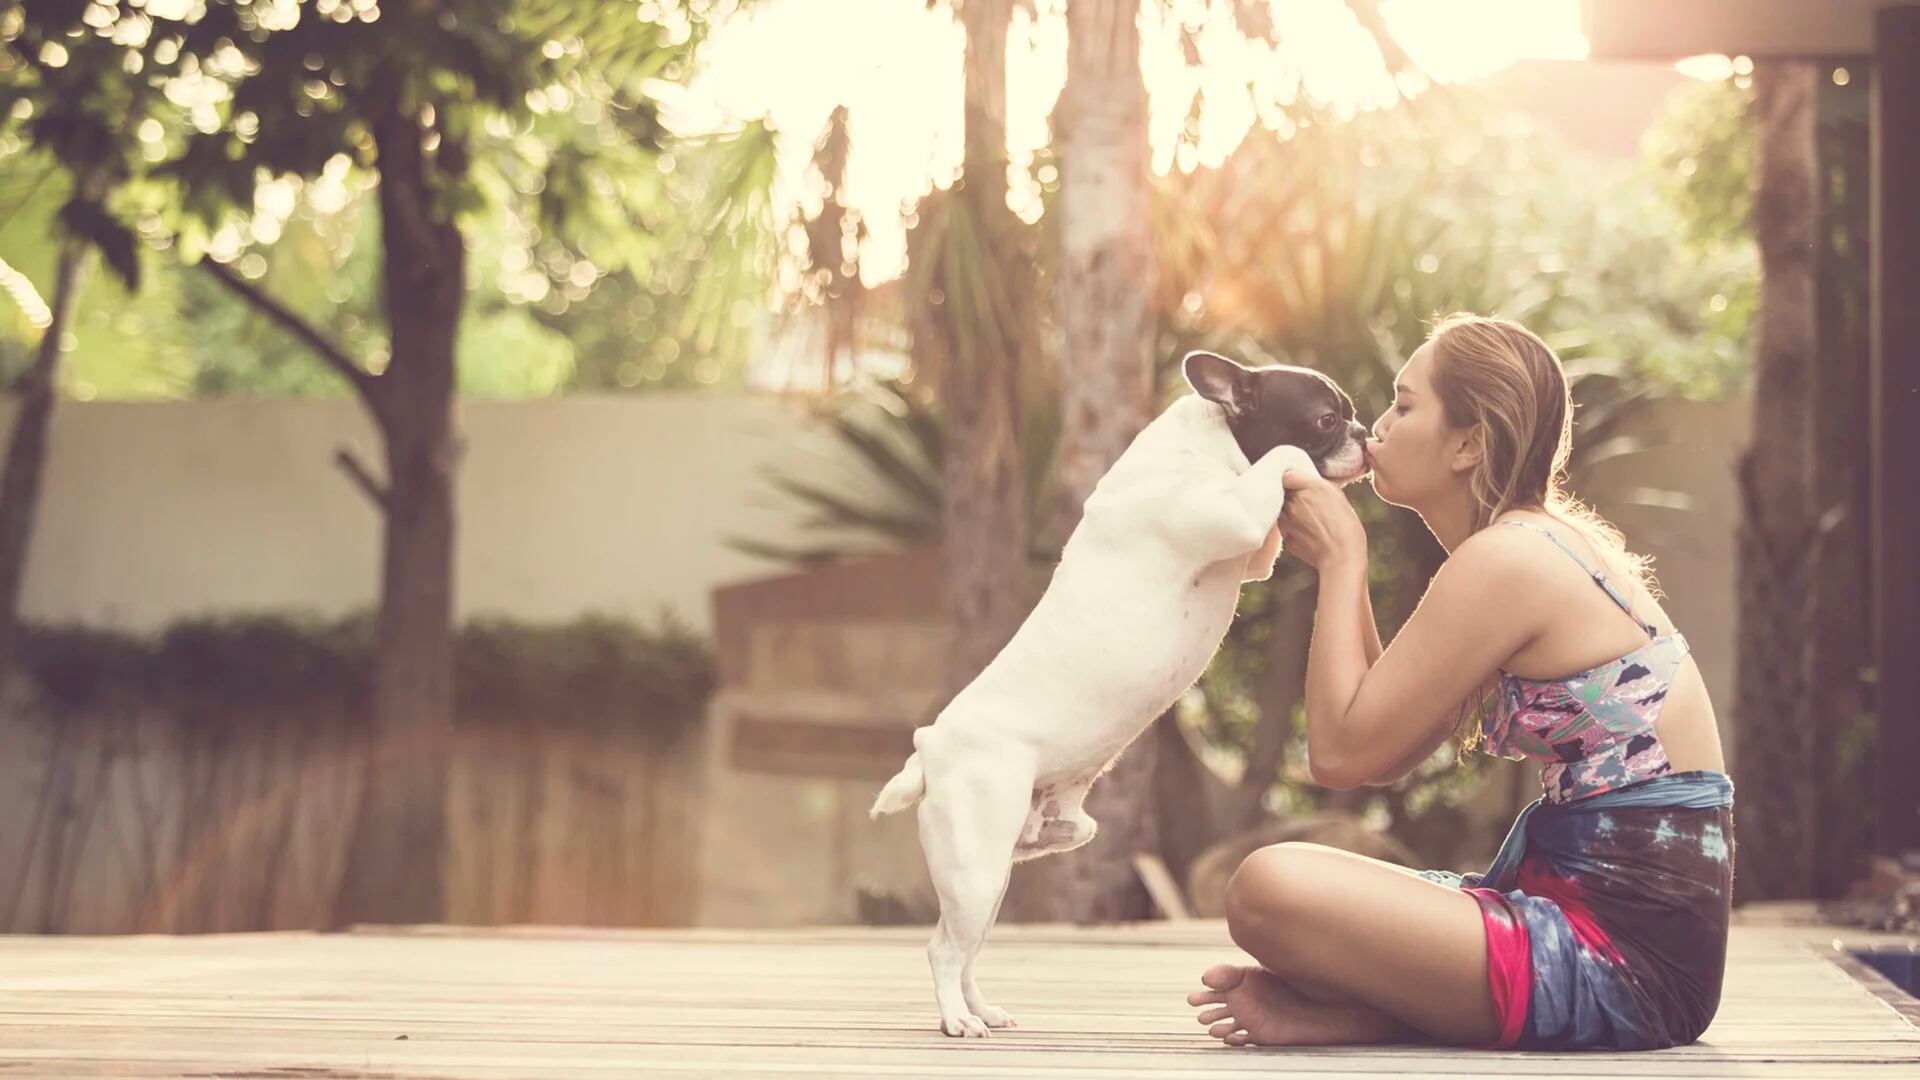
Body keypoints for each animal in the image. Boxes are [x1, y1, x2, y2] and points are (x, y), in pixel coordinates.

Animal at [871, 349, 1382, 1030]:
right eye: (1326, 419)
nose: (1366, 435)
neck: (1210, 442)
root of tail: (930, 747)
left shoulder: (1249, 548)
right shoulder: (1234, 513)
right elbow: (1280, 457)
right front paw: (1298, 463)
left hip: (997, 864)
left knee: (969, 944)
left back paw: (986, 1008)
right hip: (974, 861)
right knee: (943, 949)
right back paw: (957, 1019)